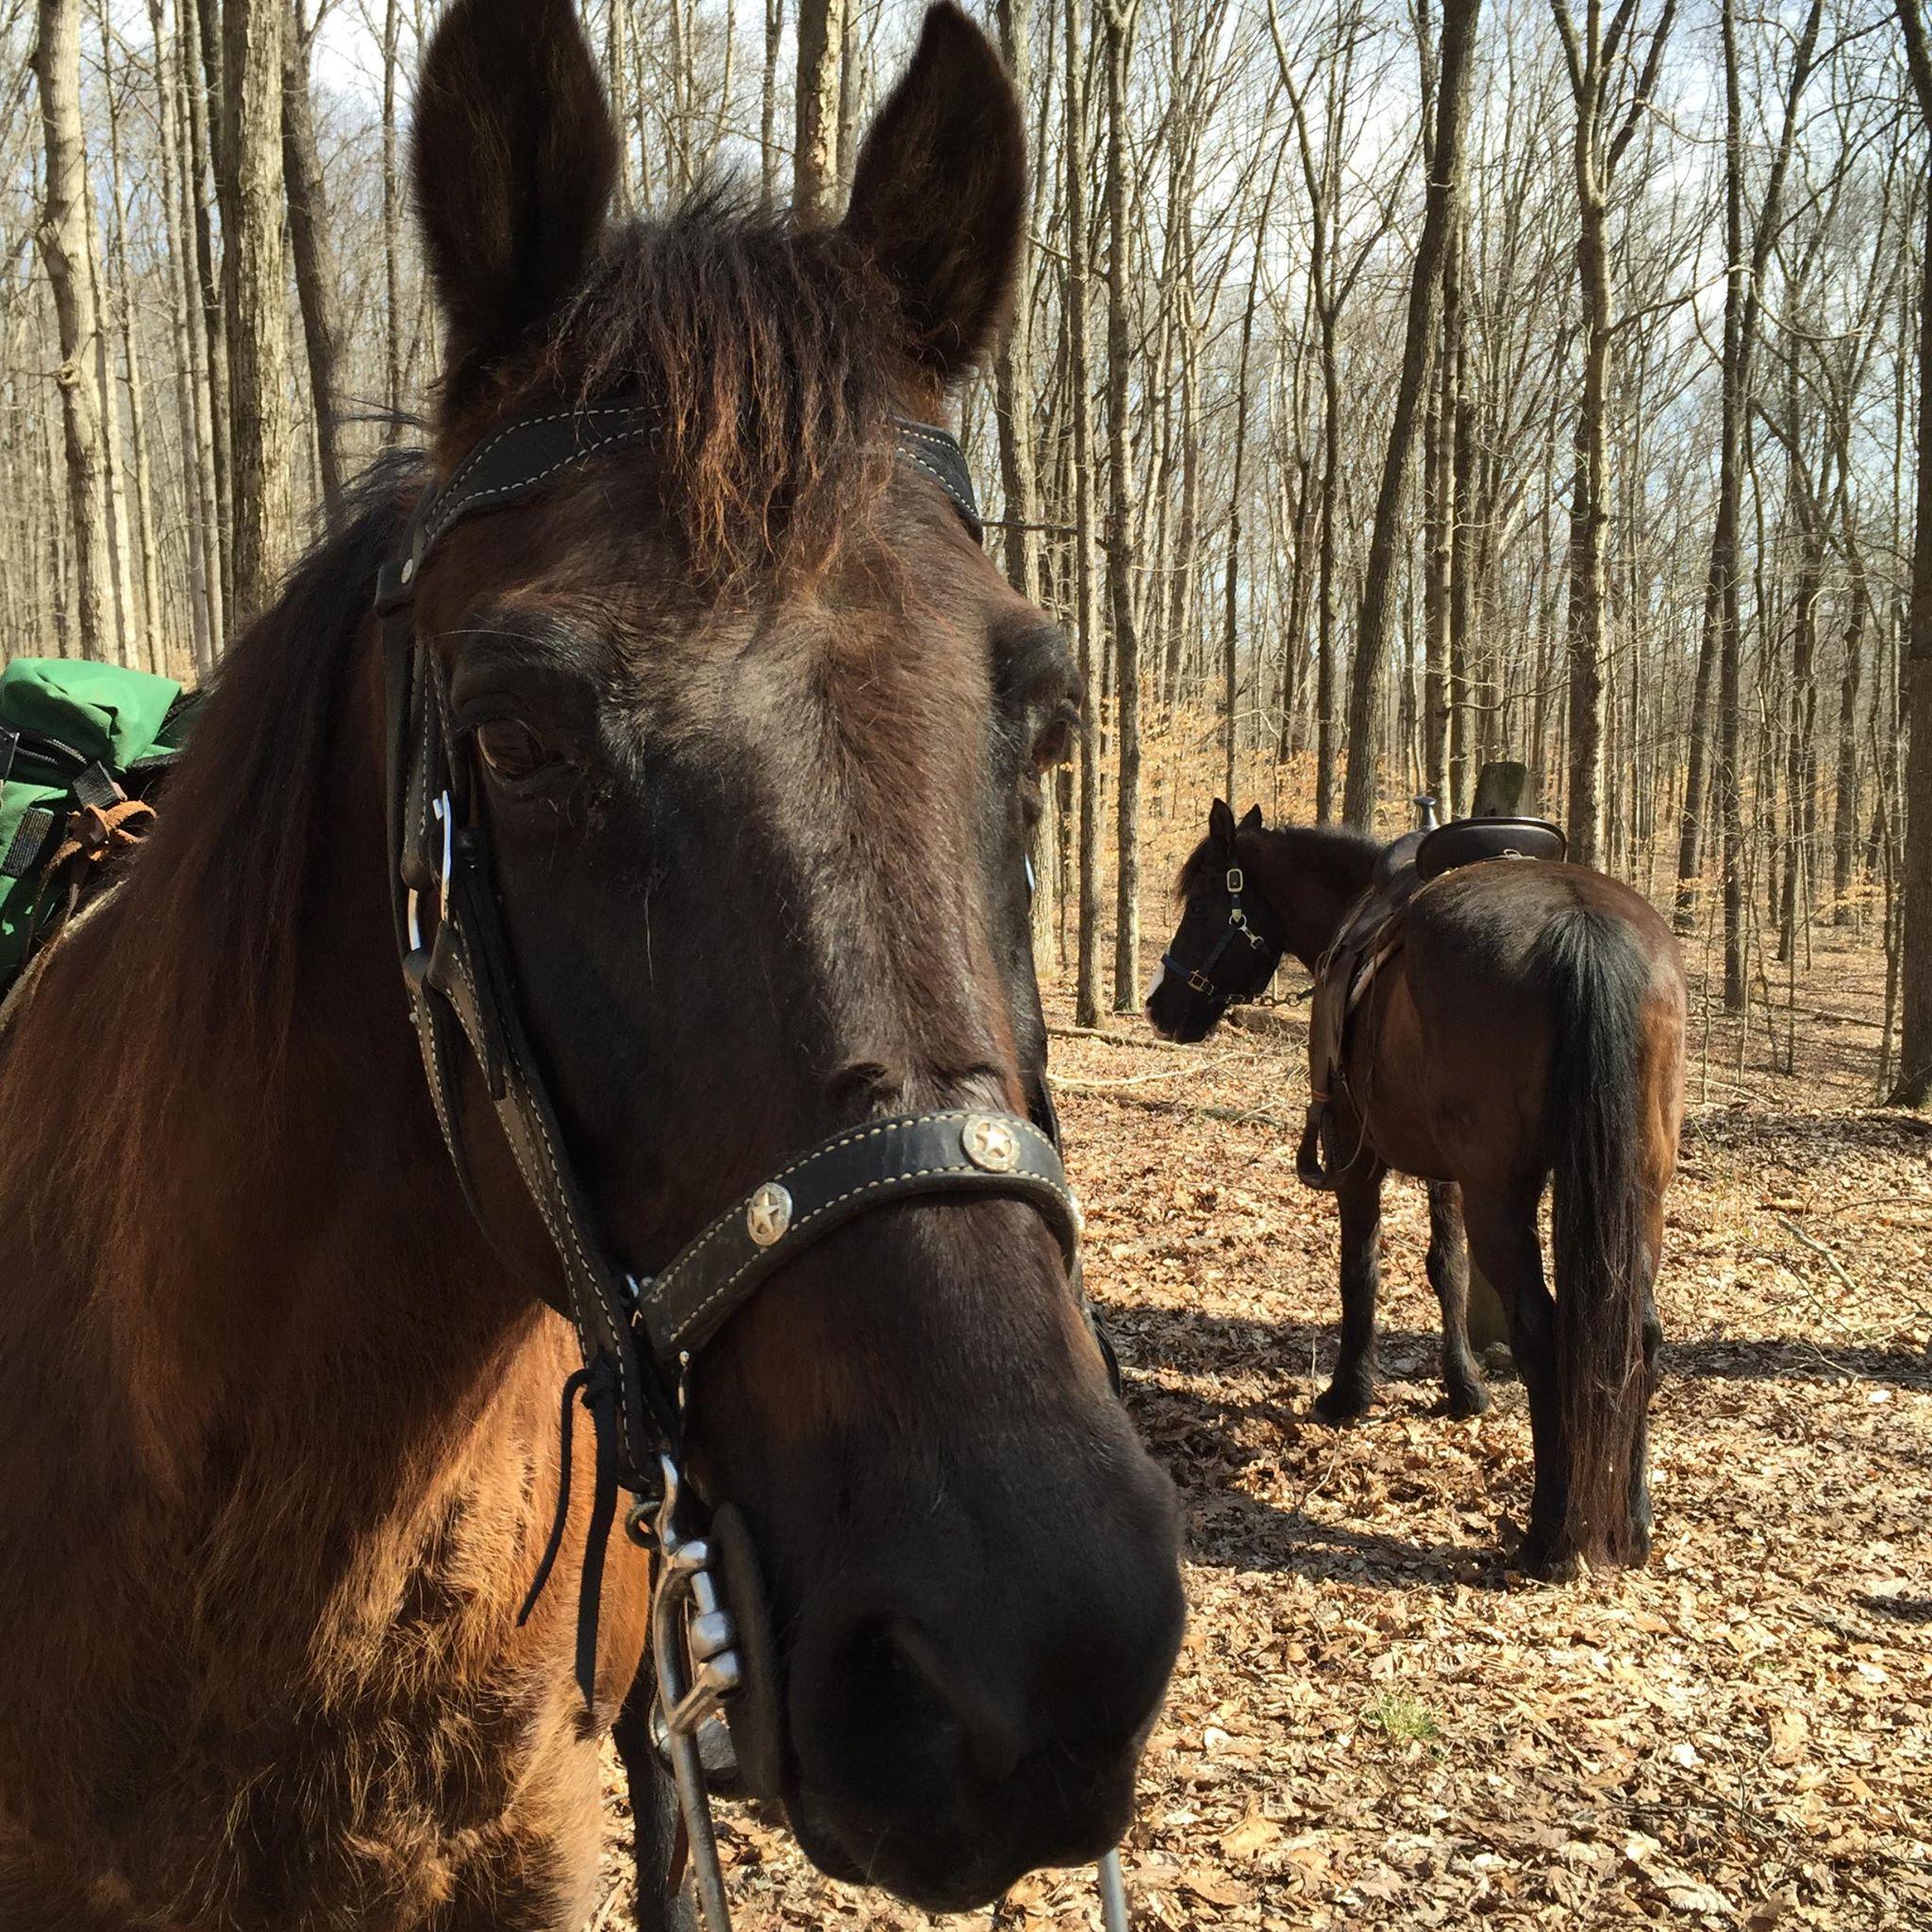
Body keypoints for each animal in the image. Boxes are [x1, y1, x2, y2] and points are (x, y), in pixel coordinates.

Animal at [1147, 800, 1686, 1573]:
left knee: (1543, 1333)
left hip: (1503, 1194)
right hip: (1639, 1190)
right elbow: (1447, 1269)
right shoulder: (1449, 1172)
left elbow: (1361, 1271)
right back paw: (1635, 1522)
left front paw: (1347, 1393)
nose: (1161, 1006)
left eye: (1200, 904)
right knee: (1638, 1334)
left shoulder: (1356, 1153)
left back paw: (1547, 1537)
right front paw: (1464, 1389)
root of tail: (1583, 927)